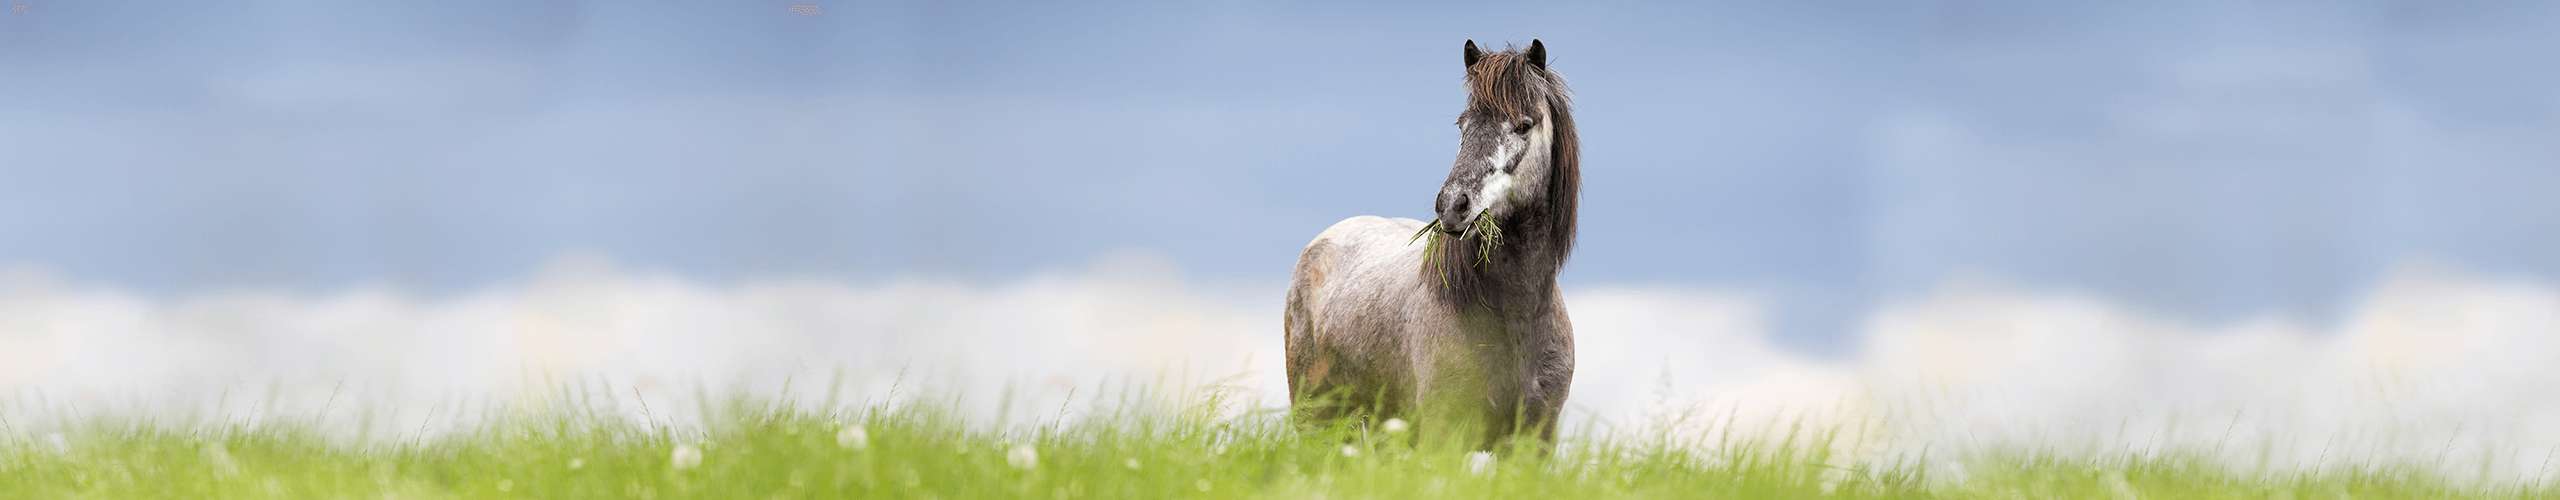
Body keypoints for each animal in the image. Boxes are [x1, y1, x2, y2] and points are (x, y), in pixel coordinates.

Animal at [1280, 37, 1576, 446]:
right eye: (1463, 124)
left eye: (1524, 125)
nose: (1453, 205)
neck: (1514, 319)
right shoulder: (1443, 433)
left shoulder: (1535, 442)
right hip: (1319, 422)